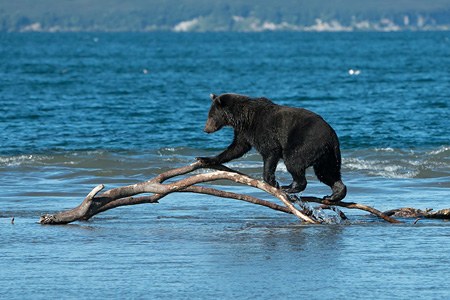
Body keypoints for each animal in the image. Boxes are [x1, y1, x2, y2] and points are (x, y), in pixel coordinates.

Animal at [195, 92, 346, 203]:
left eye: (211, 116)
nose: (205, 129)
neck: (244, 118)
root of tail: (332, 135)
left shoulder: (264, 129)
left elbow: (270, 151)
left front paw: (272, 181)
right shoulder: (244, 132)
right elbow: (236, 148)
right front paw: (205, 158)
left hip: (306, 141)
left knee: (293, 161)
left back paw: (290, 187)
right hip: (328, 154)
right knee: (327, 172)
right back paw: (335, 194)